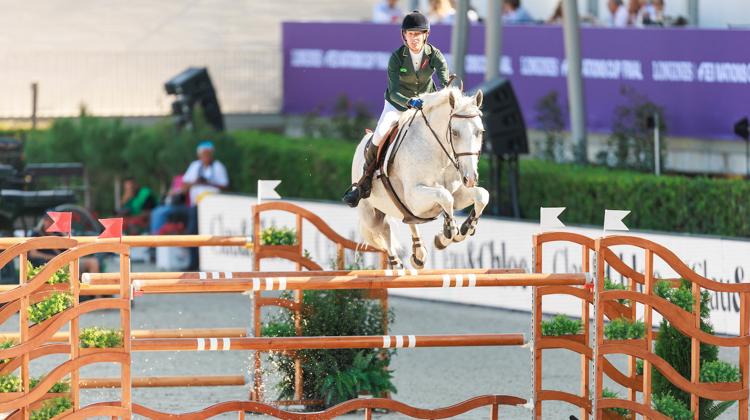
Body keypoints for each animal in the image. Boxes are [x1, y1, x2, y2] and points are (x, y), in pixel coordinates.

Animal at [354, 87, 490, 268]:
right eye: (454, 132)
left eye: (480, 132)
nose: (471, 178)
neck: (439, 153)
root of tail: (363, 139)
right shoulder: (415, 197)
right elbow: (444, 196)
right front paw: (448, 233)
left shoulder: (457, 194)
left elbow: (481, 195)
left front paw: (465, 229)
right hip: (370, 212)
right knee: (383, 230)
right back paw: (396, 265)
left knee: (408, 221)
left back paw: (418, 254)